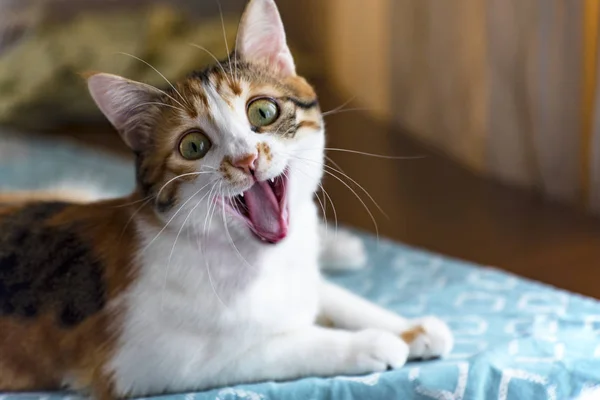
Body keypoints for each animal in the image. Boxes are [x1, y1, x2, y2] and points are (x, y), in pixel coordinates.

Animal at [0, 1, 452, 398]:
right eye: (193, 146)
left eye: (263, 112)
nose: (246, 159)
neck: (259, 259)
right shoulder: (147, 364)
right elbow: (277, 346)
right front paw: (370, 343)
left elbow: (327, 291)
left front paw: (409, 327)